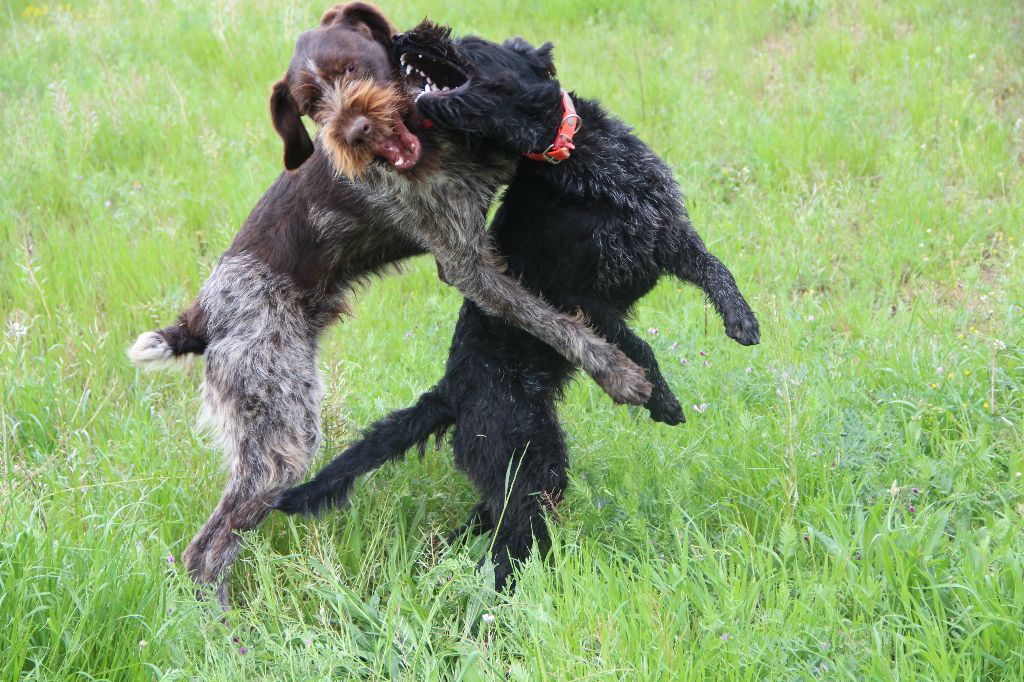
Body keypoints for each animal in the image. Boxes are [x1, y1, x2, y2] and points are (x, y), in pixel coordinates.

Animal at [130, 2, 647, 602]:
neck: (432, 132)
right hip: (279, 435)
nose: (358, 131)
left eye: (353, 68)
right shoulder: (463, 261)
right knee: (207, 550)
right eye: (311, 105)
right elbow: (549, 319)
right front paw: (618, 372)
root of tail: (202, 317)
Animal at [274, 18, 761, 585]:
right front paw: (658, 397)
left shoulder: (665, 232)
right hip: (530, 459)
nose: (398, 39)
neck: (575, 157)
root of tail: (451, 391)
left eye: (470, 43)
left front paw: (742, 321)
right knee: (509, 542)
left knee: (486, 517)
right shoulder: (576, 295)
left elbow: (716, 269)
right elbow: (632, 343)